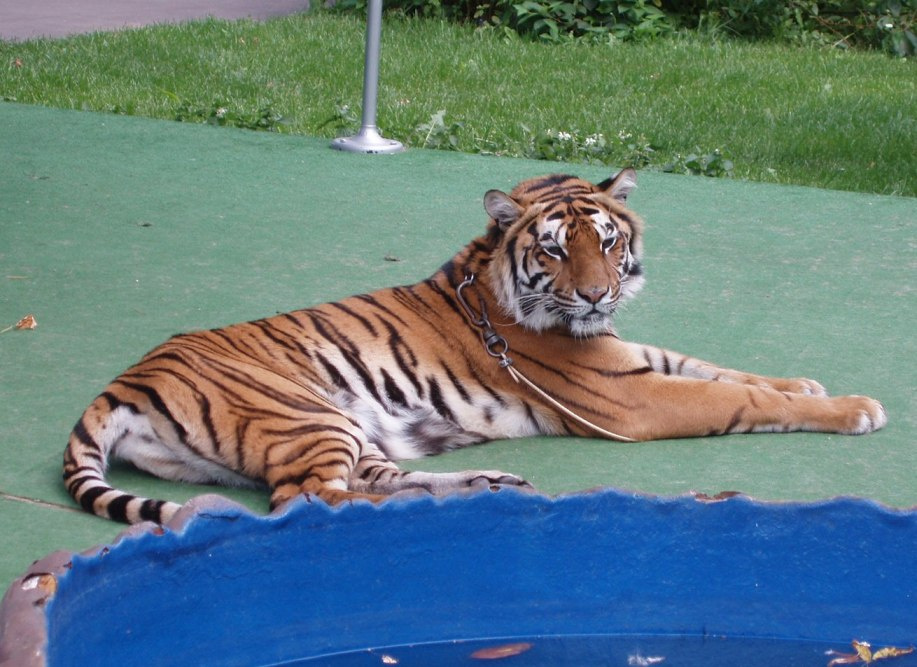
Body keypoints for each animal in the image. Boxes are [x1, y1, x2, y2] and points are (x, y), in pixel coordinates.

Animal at [63, 170, 887, 524]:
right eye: (555, 249)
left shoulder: (627, 358)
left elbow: (719, 368)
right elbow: (730, 396)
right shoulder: (625, 395)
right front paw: (855, 408)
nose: (597, 295)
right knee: (310, 502)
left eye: (607, 241)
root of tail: (118, 385)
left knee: (374, 481)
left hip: (348, 426)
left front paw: (805, 384)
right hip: (308, 414)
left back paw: (487, 486)